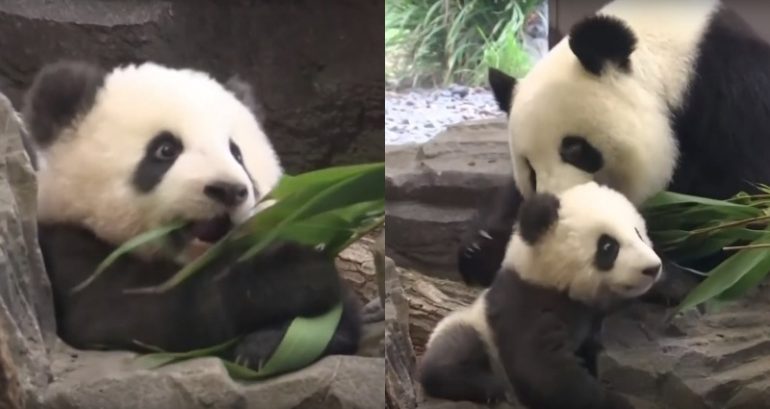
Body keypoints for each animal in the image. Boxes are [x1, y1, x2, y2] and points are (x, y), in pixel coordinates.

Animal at [22, 60, 361, 369]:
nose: (228, 190)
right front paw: (295, 273)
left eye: (237, 153)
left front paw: (272, 341)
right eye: (165, 149)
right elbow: (130, 312)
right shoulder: (66, 249)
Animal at [420, 182, 662, 408]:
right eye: (608, 246)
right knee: (453, 351)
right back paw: (488, 387)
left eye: (638, 233)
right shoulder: (525, 304)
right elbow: (544, 372)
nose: (652, 268)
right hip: (472, 328)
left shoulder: (588, 319)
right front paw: (615, 401)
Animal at [459, 0, 770, 288]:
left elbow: (728, 207)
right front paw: (483, 247)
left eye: (573, 149)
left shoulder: (731, 100)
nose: (557, 209)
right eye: (530, 171)